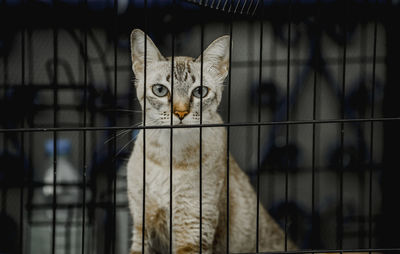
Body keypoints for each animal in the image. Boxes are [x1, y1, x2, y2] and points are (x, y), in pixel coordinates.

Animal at [126, 28, 296, 253]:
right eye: (160, 90)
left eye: (200, 92)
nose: (181, 113)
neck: (169, 157)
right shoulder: (142, 225)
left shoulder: (193, 227)